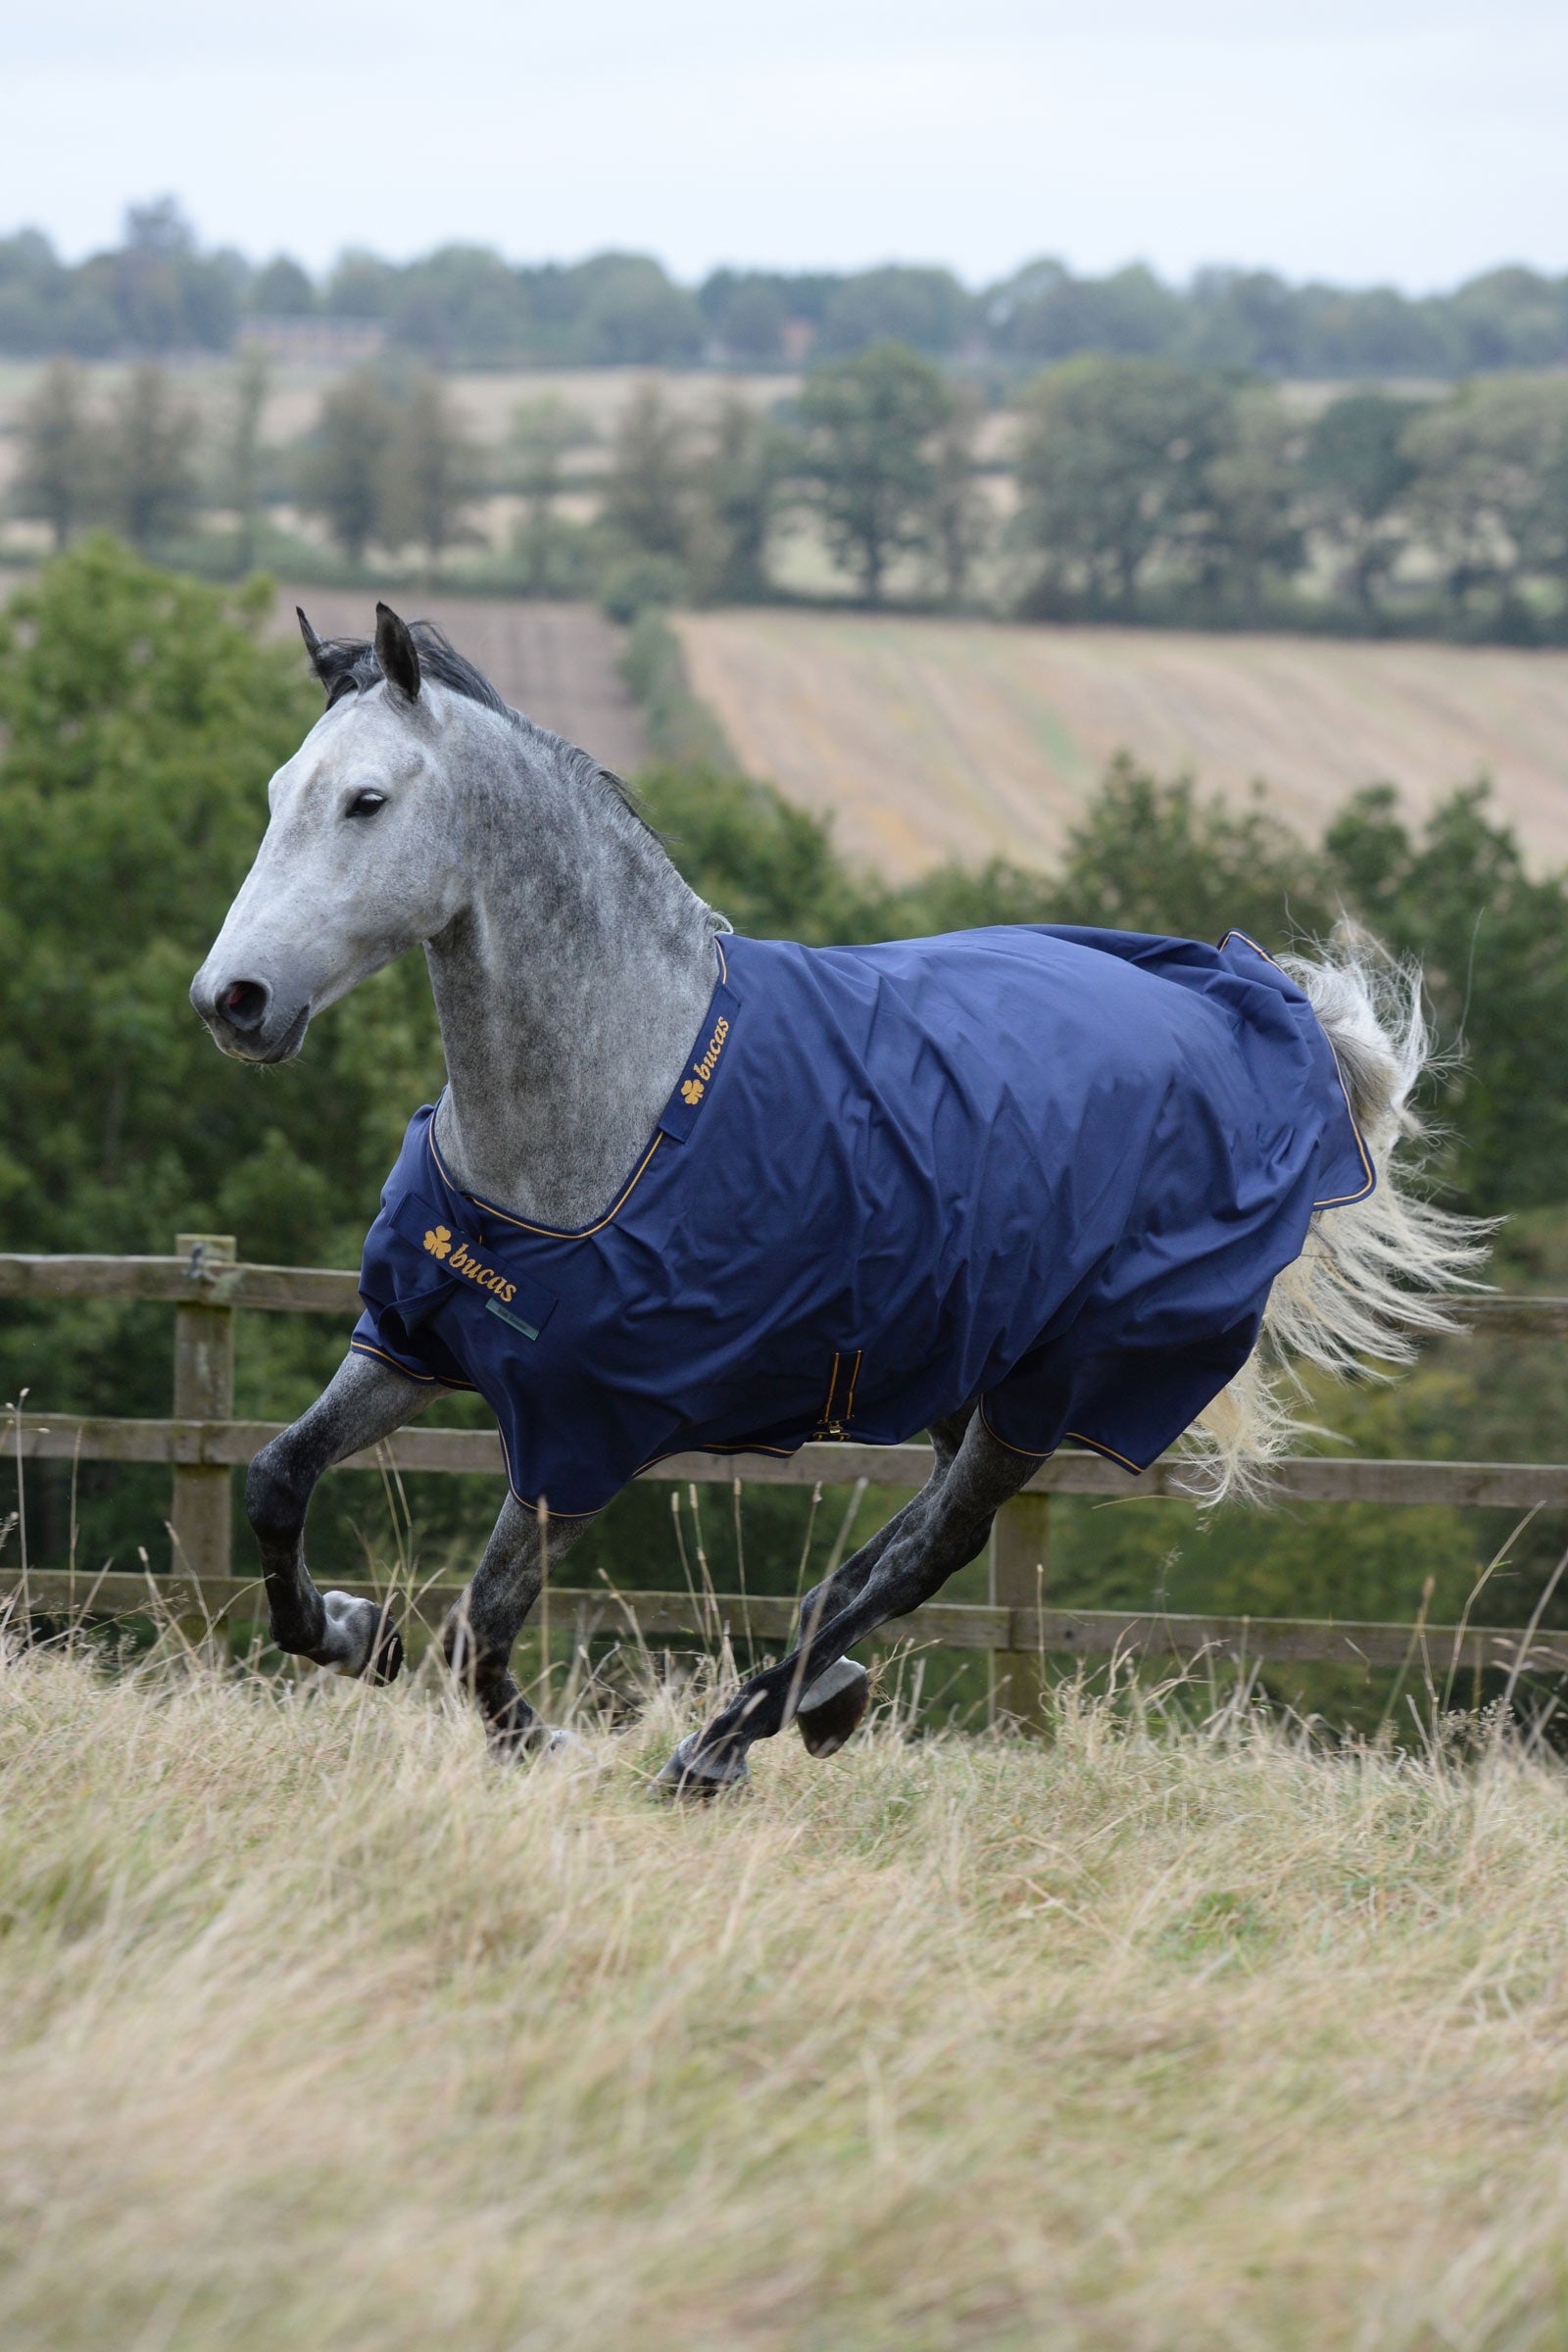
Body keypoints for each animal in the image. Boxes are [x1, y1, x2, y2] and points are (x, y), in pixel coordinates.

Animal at [191, 603, 1485, 1791]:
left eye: (366, 801)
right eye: (278, 790)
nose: (232, 1001)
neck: (614, 1111)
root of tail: (1248, 1017)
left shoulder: (584, 1435)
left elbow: (484, 1623)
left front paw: (542, 1740)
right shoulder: (408, 1343)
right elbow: (275, 1480)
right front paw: (351, 1631)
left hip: (1057, 1379)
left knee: (935, 1545)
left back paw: (723, 1742)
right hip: (966, 1356)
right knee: (911, 1544)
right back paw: (815, 1690)